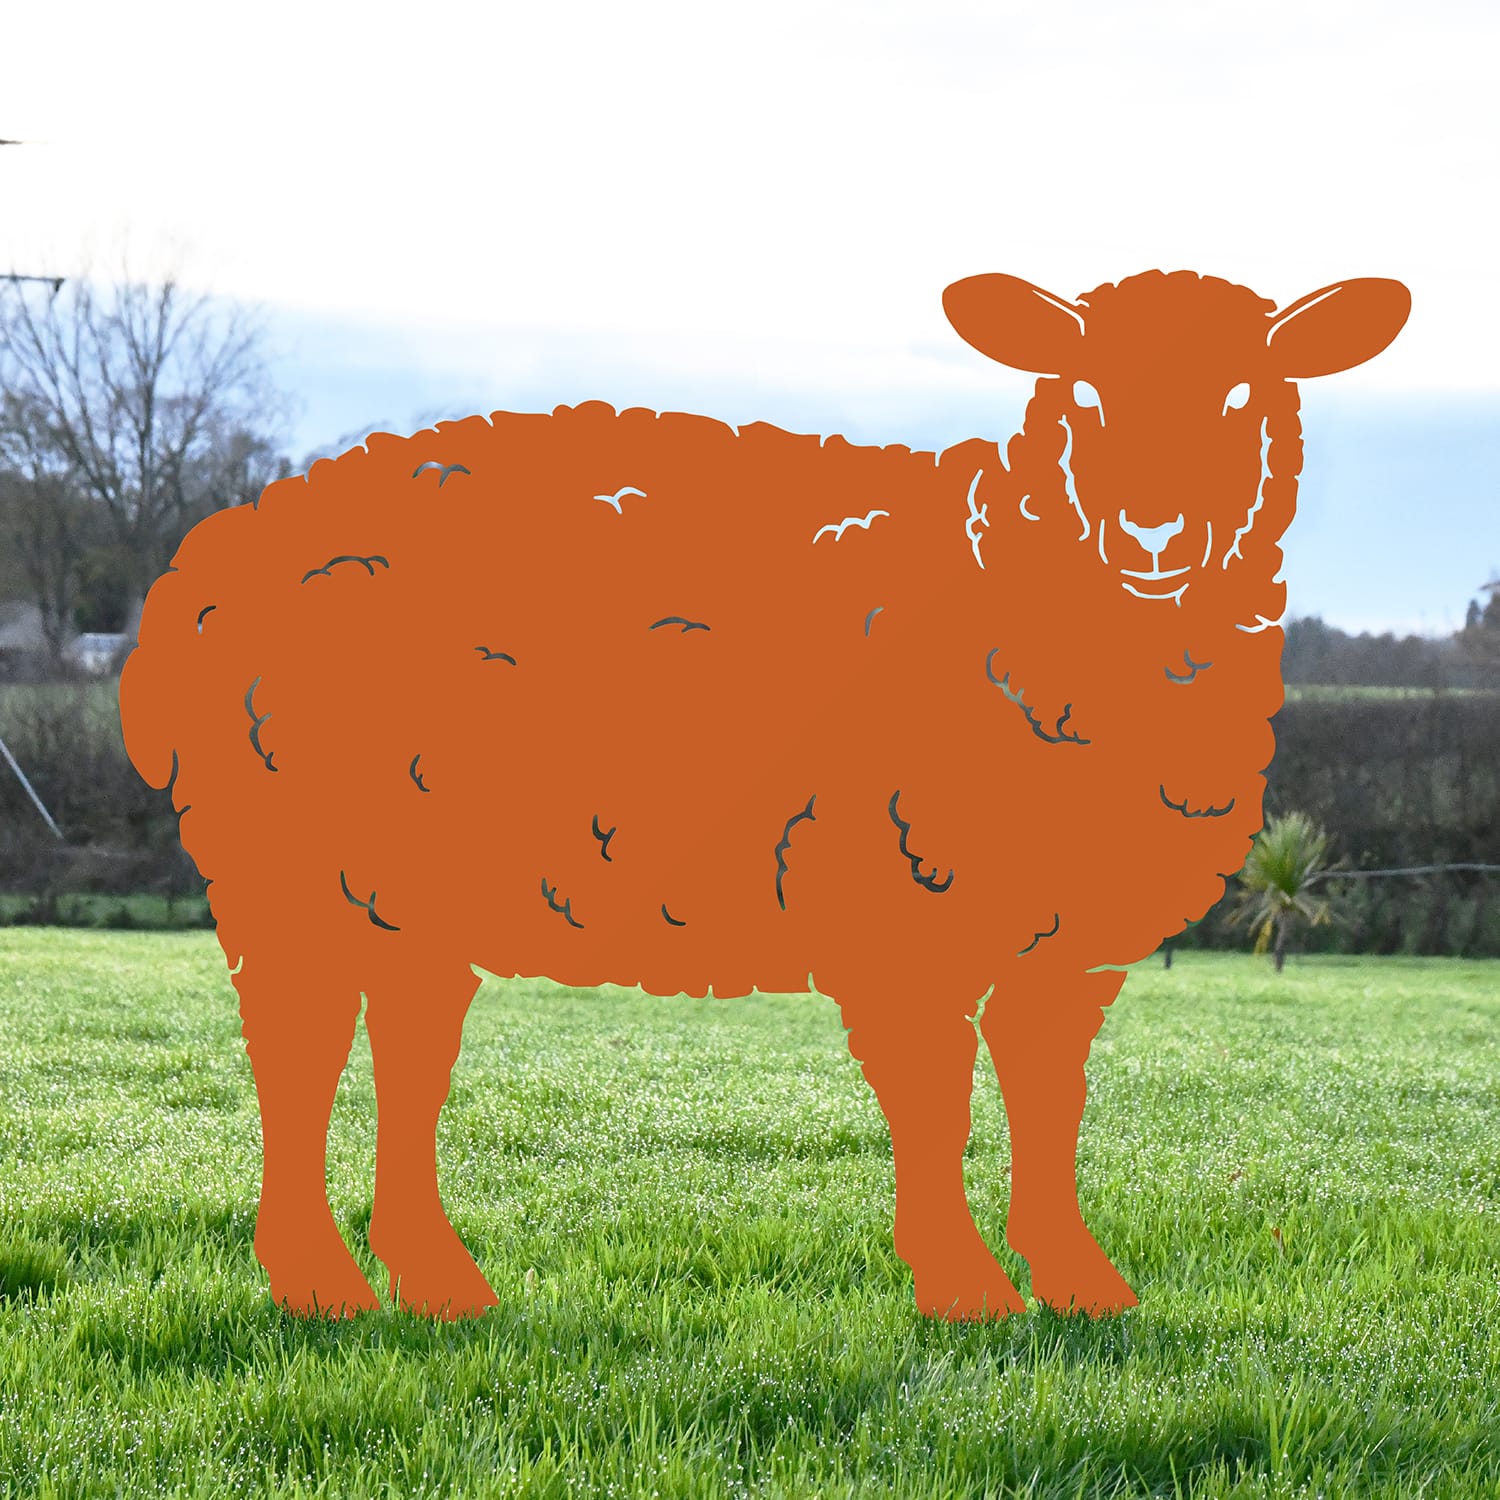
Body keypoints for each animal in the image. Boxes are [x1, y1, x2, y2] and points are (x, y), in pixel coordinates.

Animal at [119, 269, 1411, 1321]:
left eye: (1247, 395)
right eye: (1083, 393)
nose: (1153, 535)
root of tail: (209, 559)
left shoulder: (1066, 949)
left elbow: (1051, 1110)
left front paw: (1081, 1287)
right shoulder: (897, 901)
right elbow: (938, 1106)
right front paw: (965, 1292)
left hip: (402, 886)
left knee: (406, 1049)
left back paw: (435, 1284)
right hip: (285, 864)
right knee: (298, 1057)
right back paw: (320, 1285)